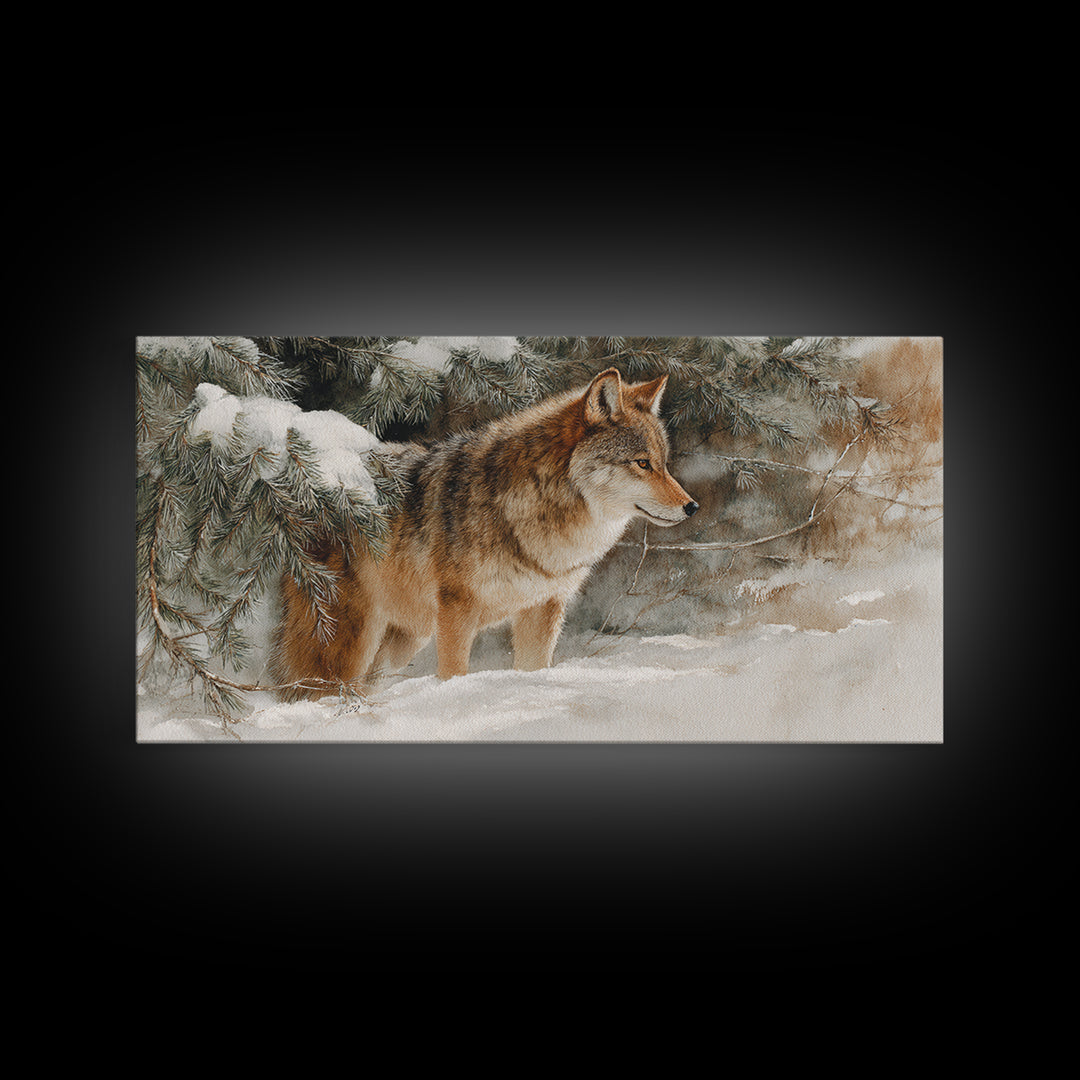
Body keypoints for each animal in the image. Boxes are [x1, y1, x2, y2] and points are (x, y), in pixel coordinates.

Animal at [270, 367, 698, 699]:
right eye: (641, 463)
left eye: (663, 463)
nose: (691, 506)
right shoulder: (458, 609)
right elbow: (453, 672)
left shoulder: (543, 607)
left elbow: (533, 668)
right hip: (347, 639)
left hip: (405, 638)